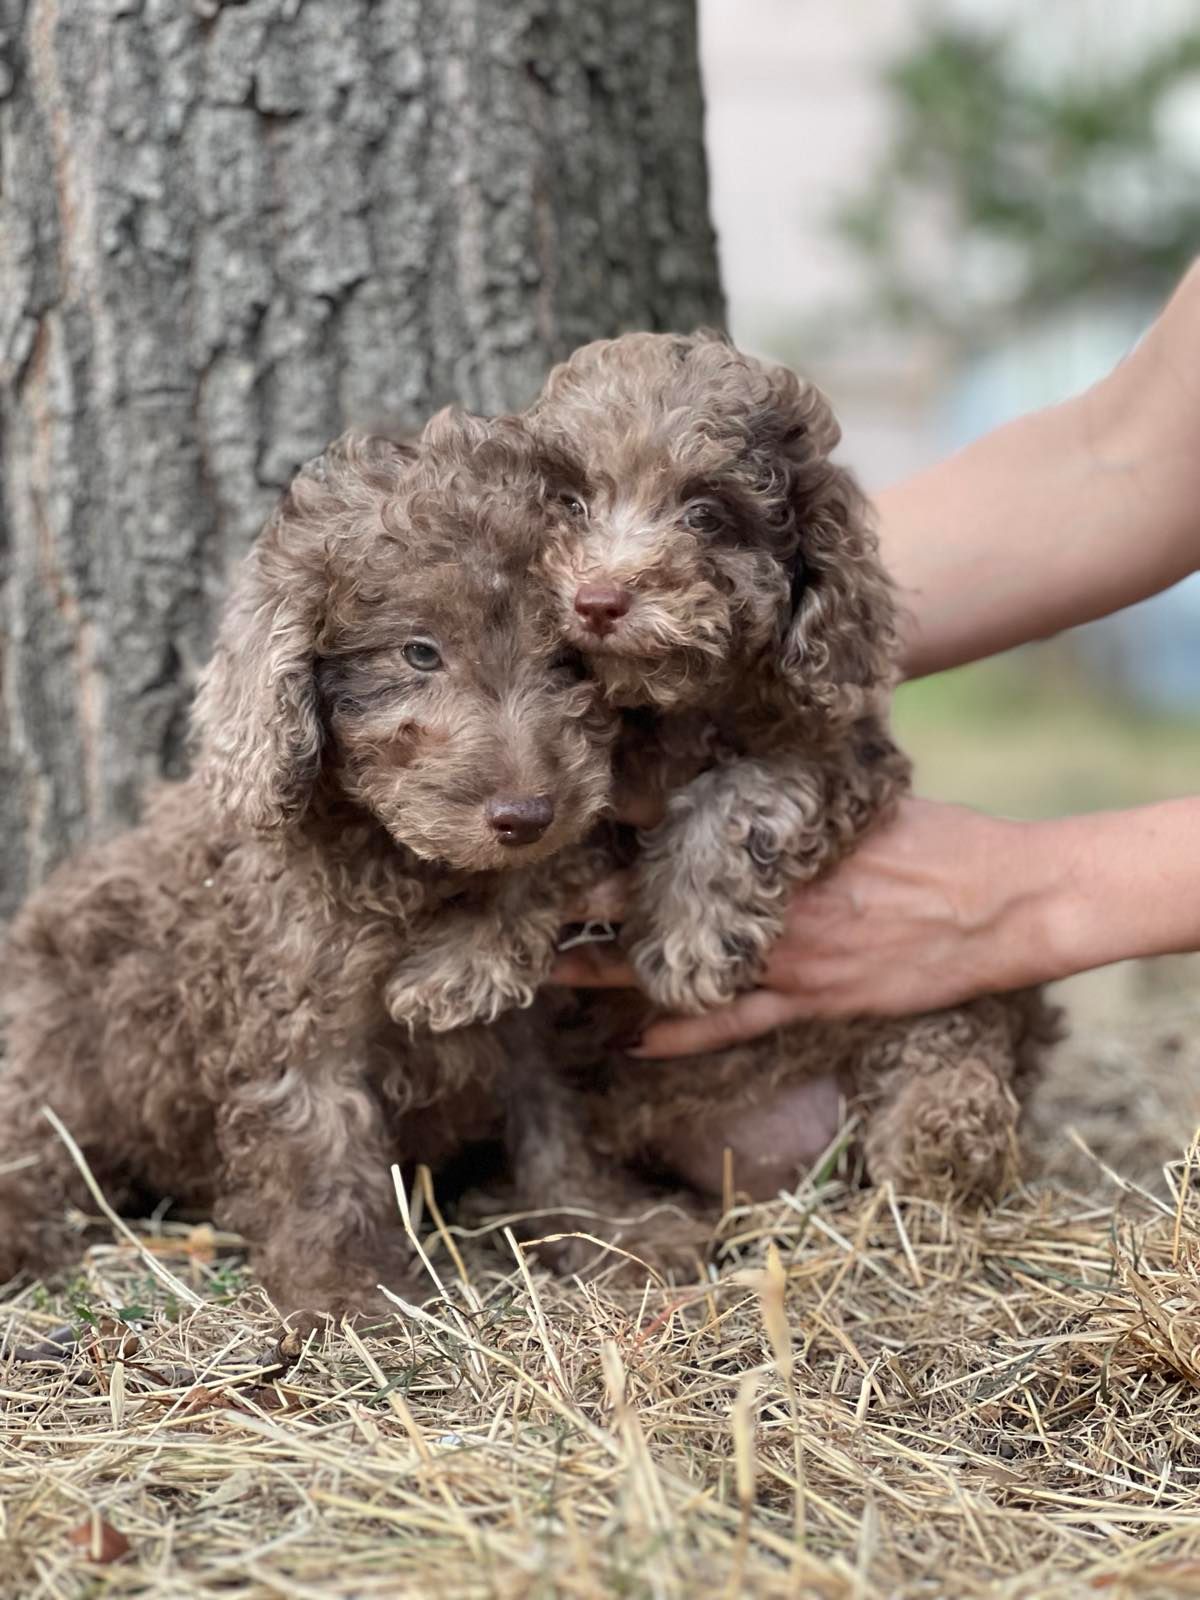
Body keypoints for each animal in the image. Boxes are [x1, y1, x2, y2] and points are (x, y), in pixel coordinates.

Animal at [0, 412, 614, 1312]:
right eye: (420, 654)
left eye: (568, 659)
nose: (528, 815)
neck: (400, 863)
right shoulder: (300, 1022)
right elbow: (321, 1157)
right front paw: (348, 1294)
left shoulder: (537, 1022)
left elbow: (560, 1119)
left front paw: (618, 1231)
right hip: (56, 1048)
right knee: (32, 1142)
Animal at [528, 328, 1062, 1203]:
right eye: (570, 504)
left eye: (705, 515)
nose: (597, 600)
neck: (673, 707)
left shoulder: (844, 745)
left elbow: (746, 789)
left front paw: (690, 938)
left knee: (955, 1030)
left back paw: (943, 1132)